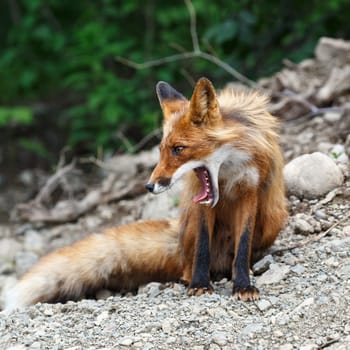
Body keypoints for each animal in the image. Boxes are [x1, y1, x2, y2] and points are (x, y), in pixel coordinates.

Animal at [3, 78, 288, 310]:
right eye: (161, 150)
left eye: (179, 149)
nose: (149, 186)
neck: (228, 170)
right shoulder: (202, 200)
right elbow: (202, 248)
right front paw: (199, 284)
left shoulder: (249, 192)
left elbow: (243, 247)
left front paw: (243, 285)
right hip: (190, 227)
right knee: (188, 261)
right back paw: (191, 277)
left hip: (273, 219)